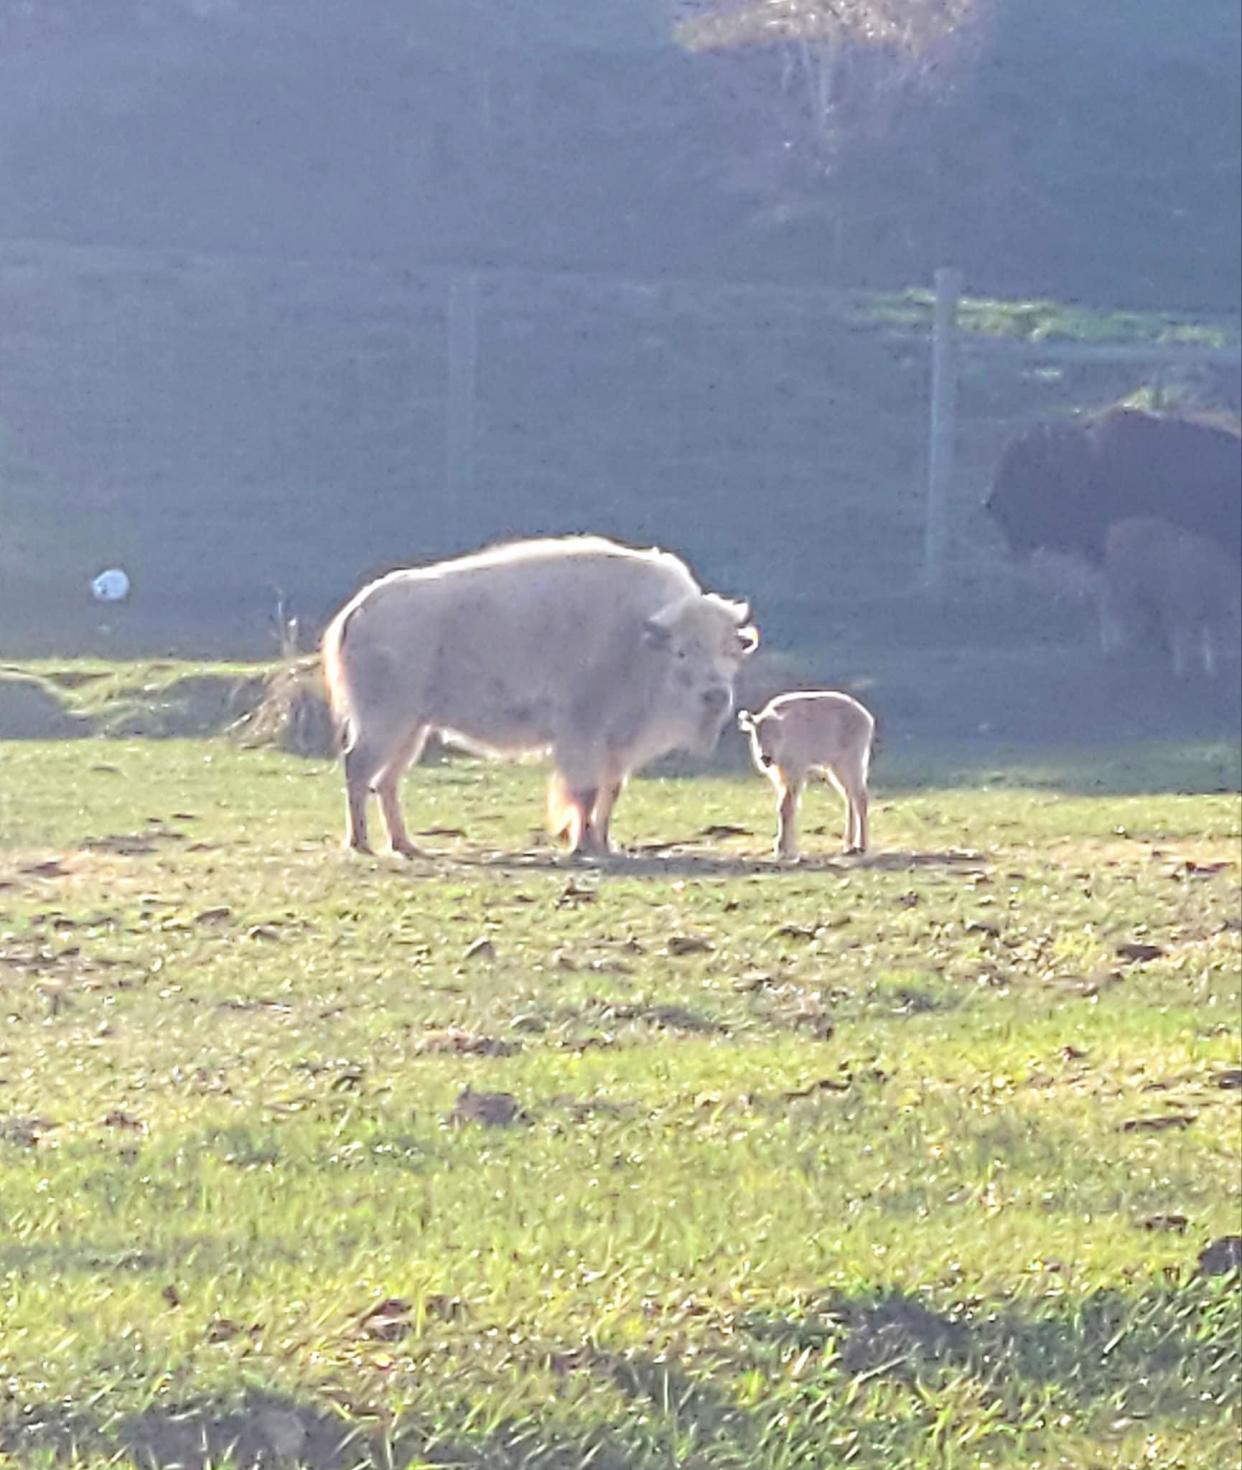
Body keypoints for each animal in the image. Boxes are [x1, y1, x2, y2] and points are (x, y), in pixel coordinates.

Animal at [320, 535, 758, 858]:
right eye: (682, 651)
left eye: (730, 652)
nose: (715, 695)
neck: (639, 640)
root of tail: (358, 609)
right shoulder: (582, 732)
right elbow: (584, 791)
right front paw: (582, 845)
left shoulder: (617, 744)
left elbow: (610, 791)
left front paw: (605, 844)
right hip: (386, 722)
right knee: (359, 768)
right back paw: (362, 843)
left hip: (413, 728)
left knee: (386, 780)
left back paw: (406, 845)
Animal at [740, 690, 876, 858]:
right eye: (756, 733)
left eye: (777, 734)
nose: (765, 757)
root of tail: (867, 718)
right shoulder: (782, 776)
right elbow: (787, 806)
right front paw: (787, 847)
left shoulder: (796, 773)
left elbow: (786, 807)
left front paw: (782, 848)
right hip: (835, 768)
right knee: (850, 797)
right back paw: (848, 846)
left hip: (851, 763)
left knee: (860, 798)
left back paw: (861, 846)